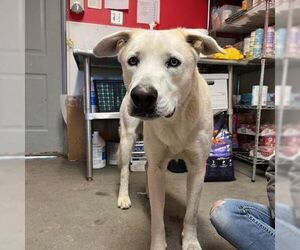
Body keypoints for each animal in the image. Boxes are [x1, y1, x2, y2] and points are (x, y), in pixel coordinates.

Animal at [93, 28, 223, 250]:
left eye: (173, 62)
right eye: (133, 60)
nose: (142, 96)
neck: (175, 118)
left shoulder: (197, 168)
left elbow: (191, 213)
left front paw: (190, 241)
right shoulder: (158, 164)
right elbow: (157, 216)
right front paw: (158, 243)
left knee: (147, 168)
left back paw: (147, 191)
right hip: (128, 139)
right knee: (125, 172)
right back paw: (124, 197)